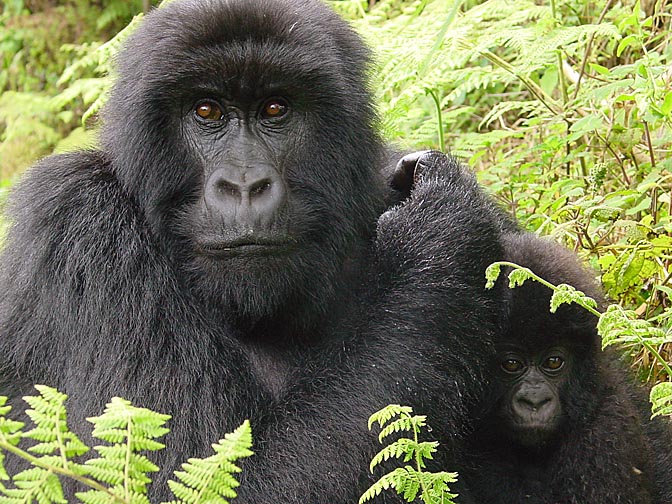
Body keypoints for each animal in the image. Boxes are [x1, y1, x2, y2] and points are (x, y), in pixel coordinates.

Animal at [0, 1, 502, 502]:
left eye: (275, 107)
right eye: (206, 110)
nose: (244, 186)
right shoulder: (78, 217)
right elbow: (184, 481)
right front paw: (436, 233)